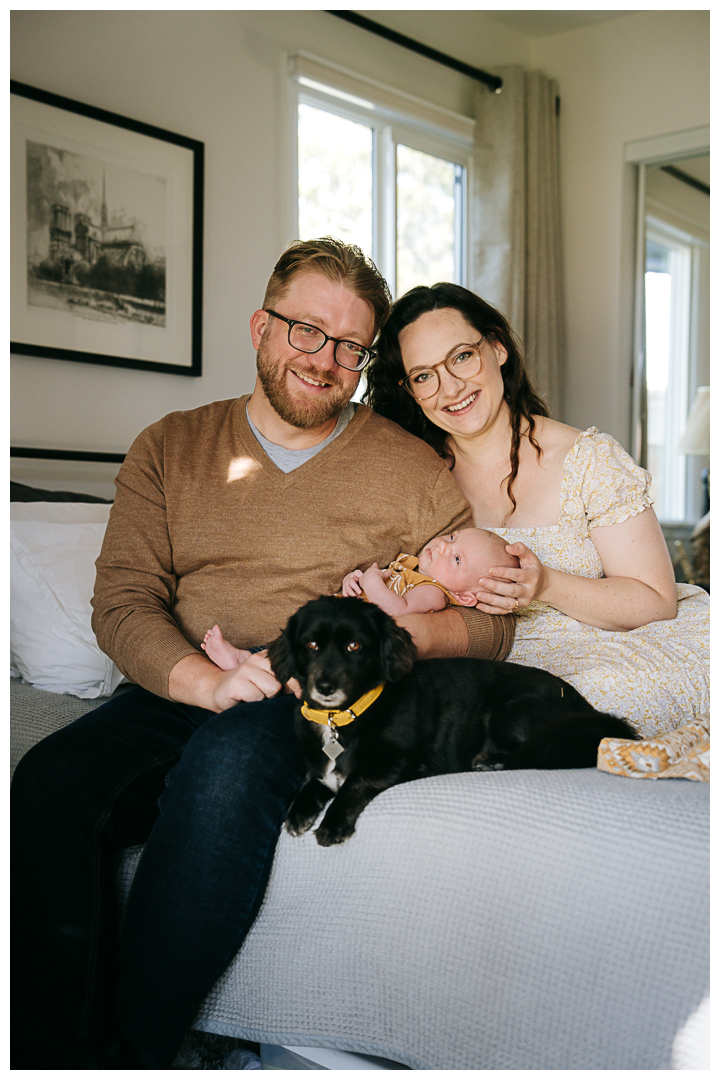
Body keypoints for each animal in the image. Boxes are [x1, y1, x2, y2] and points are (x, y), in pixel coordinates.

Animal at [268, 596, 634, 846]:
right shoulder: (321, 771)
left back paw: (489, 763)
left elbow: (355, 782)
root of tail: (585, 707)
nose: (325, 686)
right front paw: (297, 813)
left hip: (510, 714)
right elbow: (310, 785)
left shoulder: (400, 763)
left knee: (533, 756)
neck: (344, 717)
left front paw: (332, 824)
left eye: (354, 646)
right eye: (311, 644)